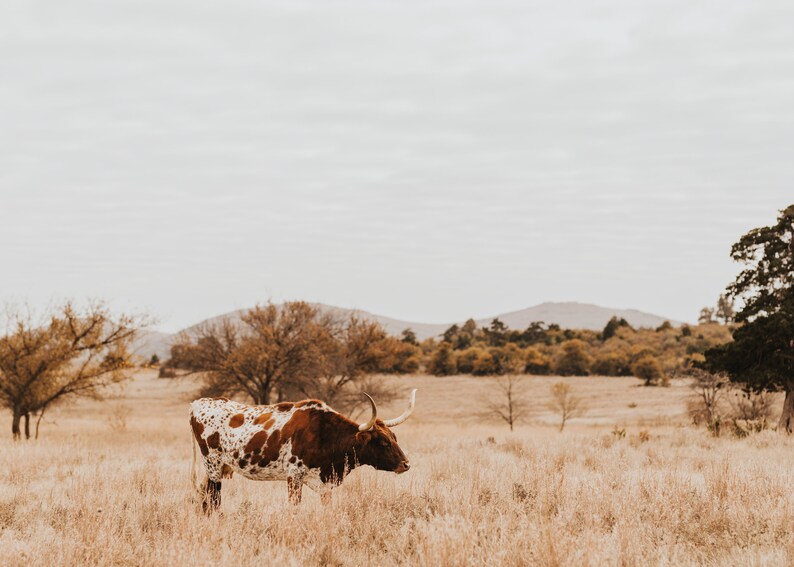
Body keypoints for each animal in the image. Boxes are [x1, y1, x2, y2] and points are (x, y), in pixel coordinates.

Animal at [189, 389, 417, 512]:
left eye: (394, 437)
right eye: (383, 442)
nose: (406, 464)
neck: (326, 434)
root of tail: (200, 402)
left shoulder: (325, 484)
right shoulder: (294, 477)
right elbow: (294, 507)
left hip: (216, 469)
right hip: (213, 468)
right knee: (213, 500)